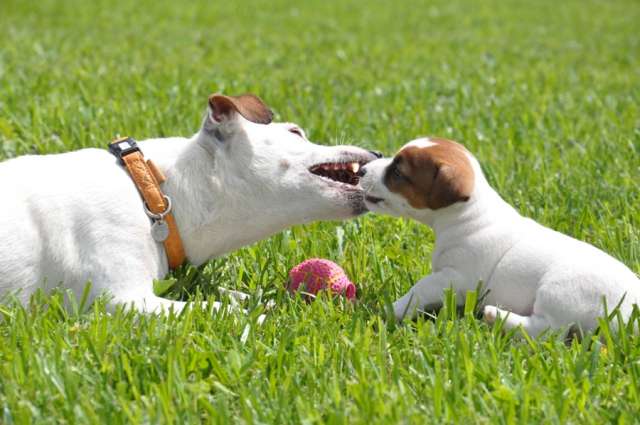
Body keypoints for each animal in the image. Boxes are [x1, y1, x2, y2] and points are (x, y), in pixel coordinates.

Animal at [362, 137, 636, 334]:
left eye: (398, 172)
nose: (362, 169)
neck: (470, 215)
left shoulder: (455, 278)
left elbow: (419, 288)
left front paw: (390, 309)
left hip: (559, 292)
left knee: (548, 331)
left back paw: (496, 316)